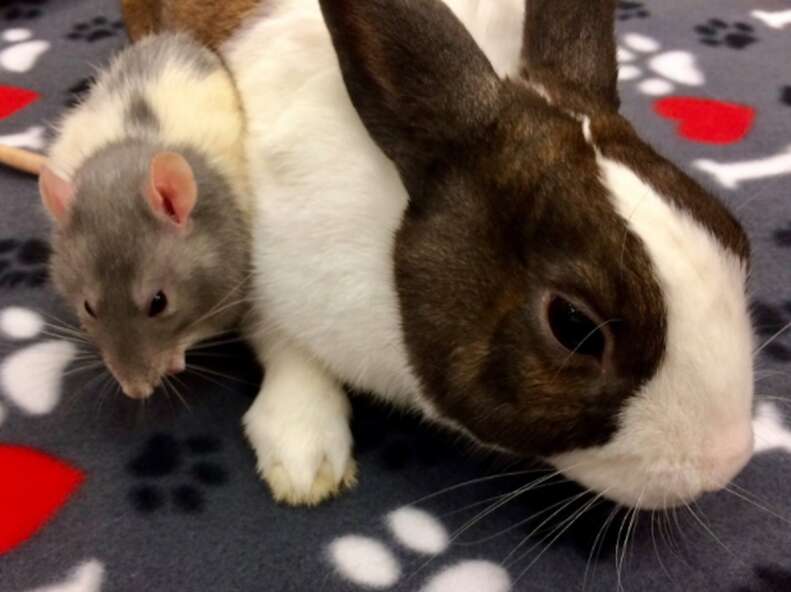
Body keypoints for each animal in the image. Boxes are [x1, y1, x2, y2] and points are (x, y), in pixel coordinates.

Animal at [216, 0, 755, 509]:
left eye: (733, 235)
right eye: (574, 327)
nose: (724, 462)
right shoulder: (263, 270)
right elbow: (287, 347)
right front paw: (304, 458)